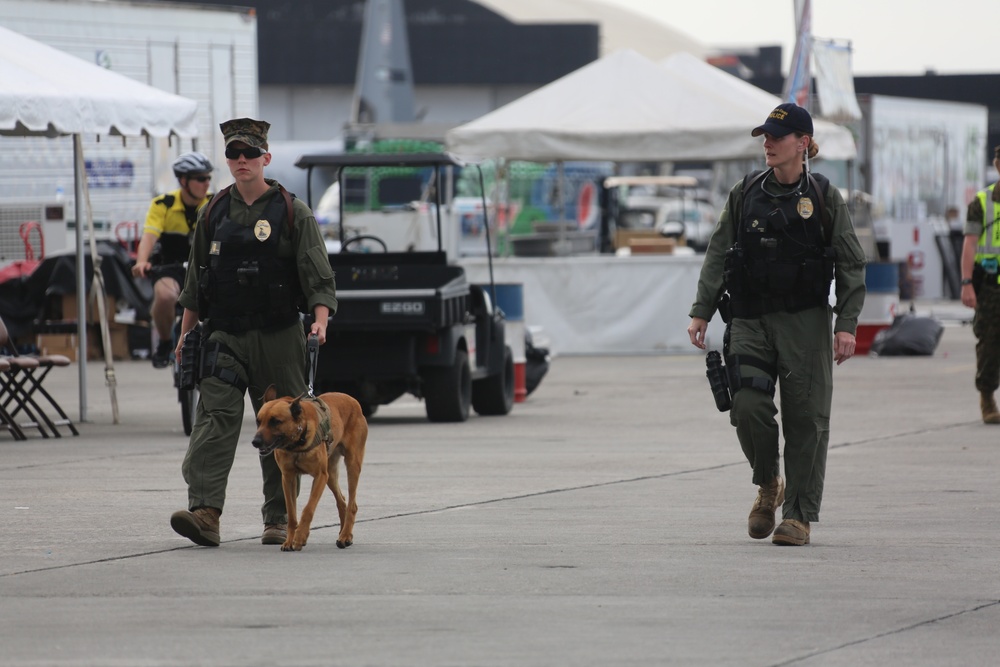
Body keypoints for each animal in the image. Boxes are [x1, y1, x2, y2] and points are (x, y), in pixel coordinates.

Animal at [252, 386, 370, 552]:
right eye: (259, 421)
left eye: (275, 422)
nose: (255, 442)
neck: (297, 442)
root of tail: (352, 400)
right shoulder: (288, 478)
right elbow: (292, 514)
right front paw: (289, 540)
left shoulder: (320, 476)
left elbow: (308, 509)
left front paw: (300, 537)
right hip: (330, 474)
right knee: (342, 501)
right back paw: (344, 534)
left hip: (352, 465)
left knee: (352, 505)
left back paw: (345, 536)